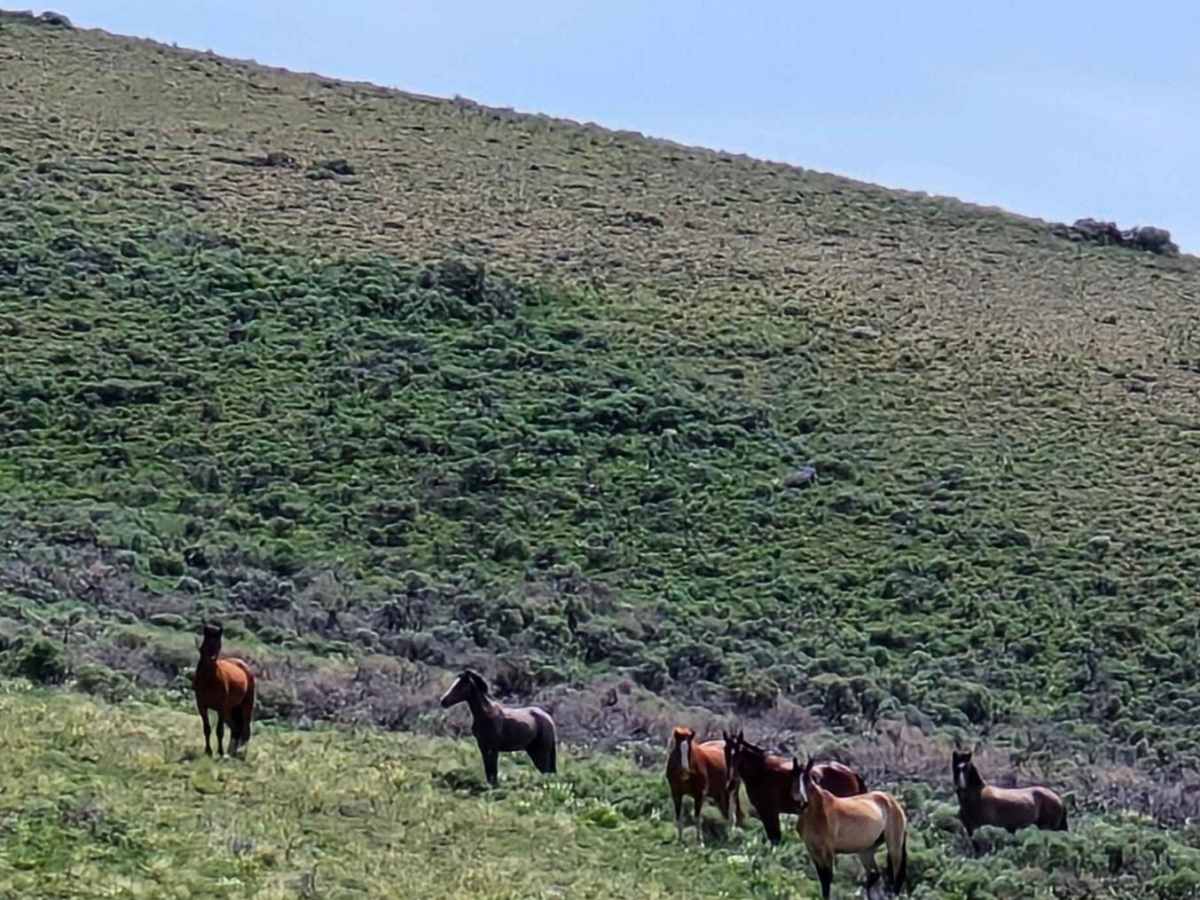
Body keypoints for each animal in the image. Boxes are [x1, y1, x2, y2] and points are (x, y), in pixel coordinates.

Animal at [192, 623, 255, 758]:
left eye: (218, 643)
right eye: (206, 641)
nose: (211, 658)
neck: (209, 680)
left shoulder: (220, 708)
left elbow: (219, 730)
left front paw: (220, 752)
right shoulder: (202, 706)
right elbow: (207, 728)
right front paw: (208, 751)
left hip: (245, 706)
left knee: (245, 730)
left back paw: (241, 754)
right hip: (230, 710)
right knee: (236, 729)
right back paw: (231, 752)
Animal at [724, 729, 868, 845]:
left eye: (739, 753)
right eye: (725, 751)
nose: (730, 784)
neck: (762, 772)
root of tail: (851, 773)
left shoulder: (769, 812)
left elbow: (775, 838)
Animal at [792, 756, 909, 899]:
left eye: (807, 779)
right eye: (794, 778)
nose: (802, 802)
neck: (817, 811)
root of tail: (892, 800)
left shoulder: (828, 850)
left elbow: (827, 878)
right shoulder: (813, 850)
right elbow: (822, 878)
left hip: (894, 846)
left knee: (896, 874)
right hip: (866, 850)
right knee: (874, 874)